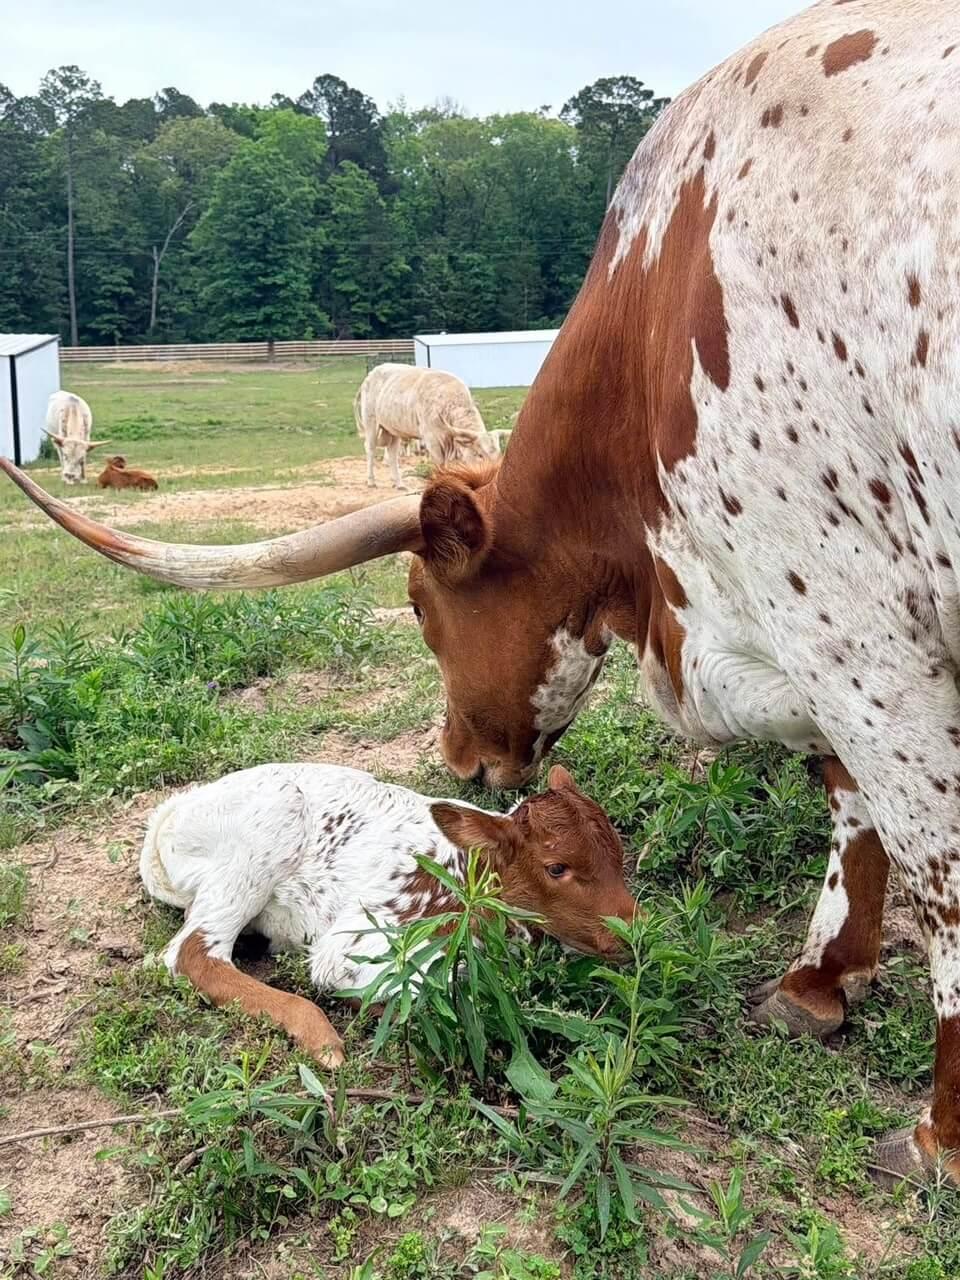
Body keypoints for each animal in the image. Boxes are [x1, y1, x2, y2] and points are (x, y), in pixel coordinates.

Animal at [140, 761, 636, 1066]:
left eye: (618, 851)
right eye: (557, 868)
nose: (633, 933)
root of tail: (171, 813)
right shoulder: (357, 941)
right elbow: (442, 993)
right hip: (262, 835)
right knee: (192, 953)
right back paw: (320, 1036)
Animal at [355, 363, 499, 489]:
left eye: (498, 455)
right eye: (479, 454)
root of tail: (371, 374)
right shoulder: (433, 442)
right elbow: (440, 467)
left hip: (393, 429)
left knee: (392, 453)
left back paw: (399, 483)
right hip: (371, 422)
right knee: (370, 449)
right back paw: (371, 481)